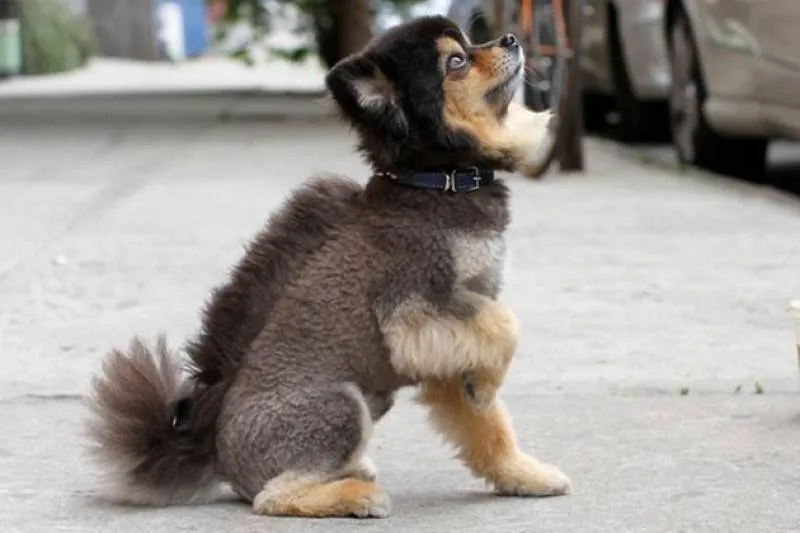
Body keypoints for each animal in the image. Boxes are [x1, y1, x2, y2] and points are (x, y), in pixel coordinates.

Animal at [86, 14, 568, 516]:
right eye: (456, 61)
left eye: (471, 43)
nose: (511, 38)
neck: (440, 182)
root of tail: (216, 448)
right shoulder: (416, 308)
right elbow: (504, 327)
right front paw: (491, 383)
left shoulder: (448, 347)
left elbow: (487, 426)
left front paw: (520, 474)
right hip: (341, 405)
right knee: (270, 497)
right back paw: (353, 495)